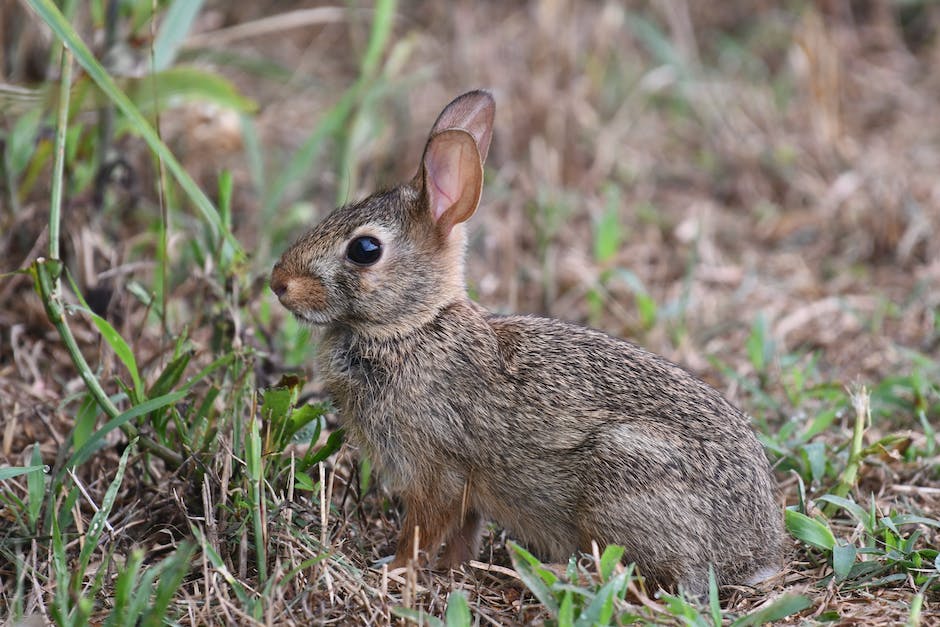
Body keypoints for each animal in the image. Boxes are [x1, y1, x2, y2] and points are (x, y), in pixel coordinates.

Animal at [270, 90, 784, 596]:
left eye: (365, 250)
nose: (279, 283)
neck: (413, 327)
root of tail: (753, 554)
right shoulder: (466, 492)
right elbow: (463, 533)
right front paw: (451, 572)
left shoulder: (435, 471)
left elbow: (422, 530)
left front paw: (393, 571)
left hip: (624, 482)